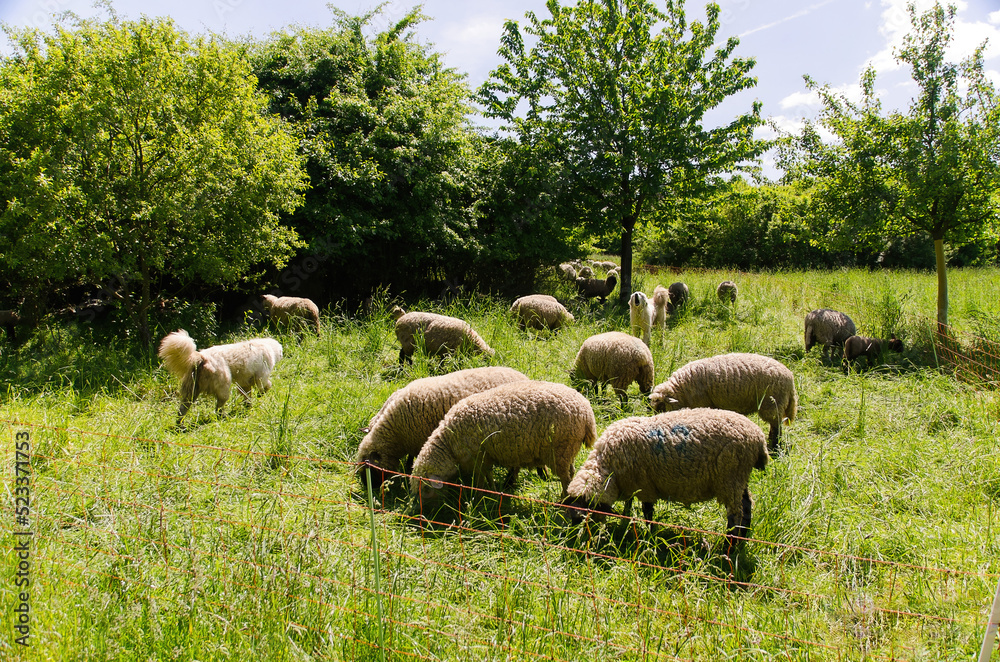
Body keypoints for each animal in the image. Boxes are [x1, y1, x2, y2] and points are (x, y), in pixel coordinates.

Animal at [358, 366, 532, 490]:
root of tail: (524, 376)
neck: (396, 433)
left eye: (369, 468)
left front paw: (408, 470)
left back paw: (509, 483)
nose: (368, 489)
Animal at [410, 382, 596, 506]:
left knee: (565, 478)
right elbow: (488, 475)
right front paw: (492, 491)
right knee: (570, 473)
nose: (421, 511)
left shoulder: (477, 458)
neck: (448, 441)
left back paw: (562, 500)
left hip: (560, 450)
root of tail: (587, 413)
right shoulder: (486, 457)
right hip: (567, 450)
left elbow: (480, 479)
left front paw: (477, 496)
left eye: (426, 489)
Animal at [560, 410, 768, 556]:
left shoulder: (645, 486)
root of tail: (758, 439)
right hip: (739, 479)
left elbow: (647, 513)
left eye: (580, 517)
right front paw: (627, 523)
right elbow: (629, 506)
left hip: (730, 478)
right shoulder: (633, 485)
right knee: (747, 506)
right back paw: (742, 540)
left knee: (736, 515)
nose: (573, 539)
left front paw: (652, 535)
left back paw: (728, 548)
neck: (607, 466)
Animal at [648, 350, 796, 448]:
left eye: (661, 407)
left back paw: (774, 445)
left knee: (776, 425)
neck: (681, 389)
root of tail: (791, 380)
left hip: (771, 404)